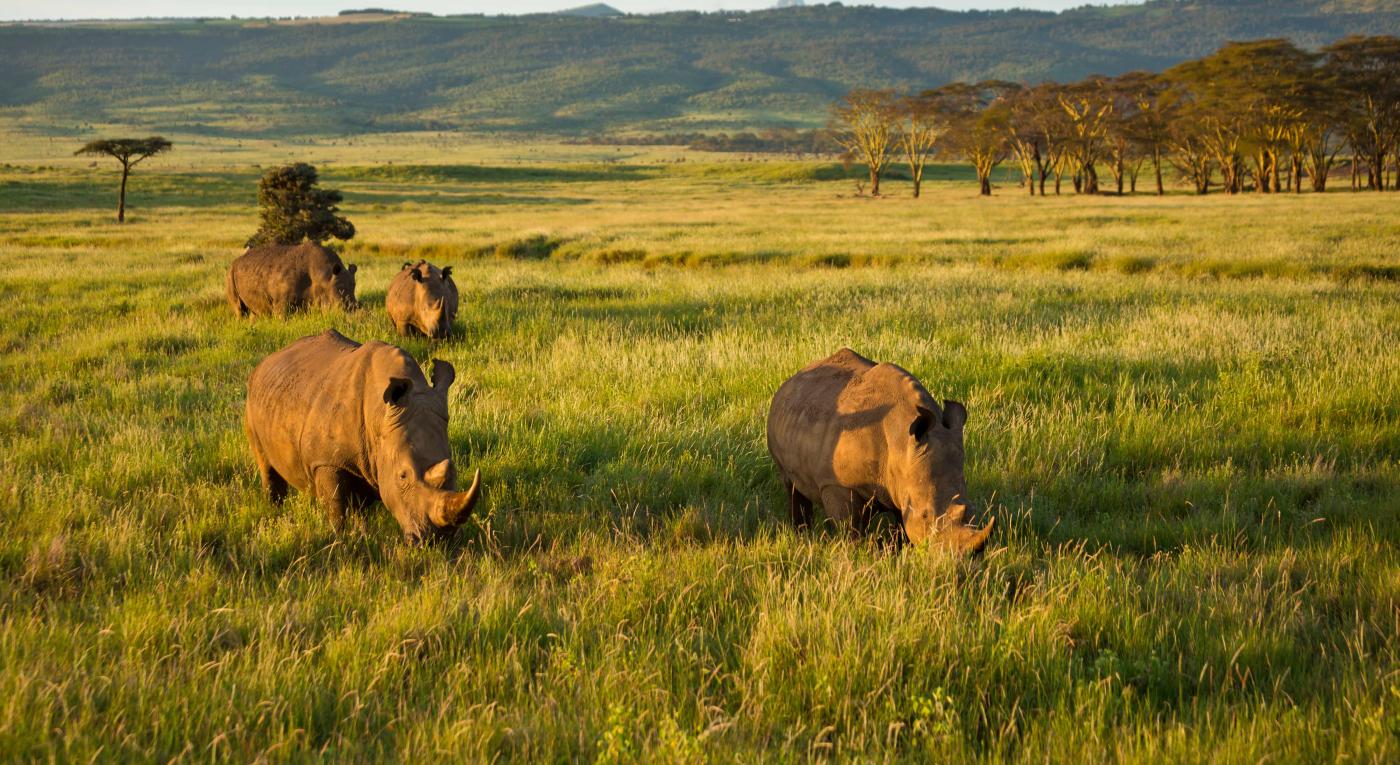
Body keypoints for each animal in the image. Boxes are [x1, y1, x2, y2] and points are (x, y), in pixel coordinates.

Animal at [224, 242, 355, 316]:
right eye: (339, 306)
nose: (352, 311)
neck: (323, 276)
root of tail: (236, 260)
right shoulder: (281, 302)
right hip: (230, 273)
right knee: (240, 309)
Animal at [242, 327, 481, 540]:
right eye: (402, 476)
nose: (441, 538)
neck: (380, 417)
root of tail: (268, 360)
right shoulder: (326, 461)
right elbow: (336, 506)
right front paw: (340, 539)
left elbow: (359, 506)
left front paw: (361, 533)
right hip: (252, 400)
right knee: (265, 463)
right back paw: (274, 510)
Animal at [767, 348, 996, 552]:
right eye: (925, 515)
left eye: (972, 510)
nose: (959, 558)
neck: (901, 444)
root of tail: (792, 379)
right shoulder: (835, 484)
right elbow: (848, 527)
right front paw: (854, 554)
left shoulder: (903, 480)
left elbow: (901, 524)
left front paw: (897, 551)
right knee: (791, 485)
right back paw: (802, 534)